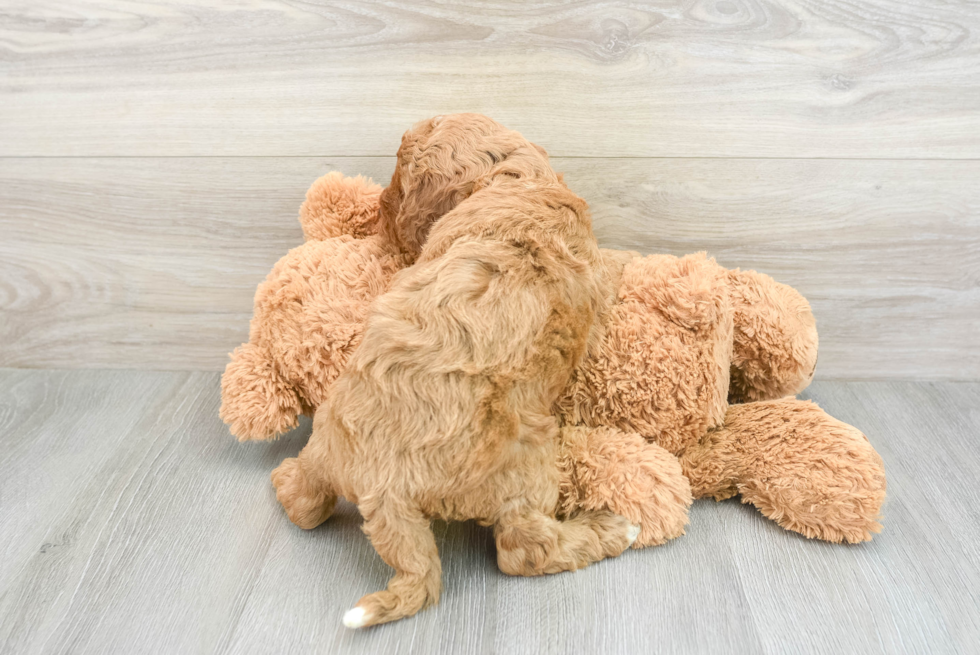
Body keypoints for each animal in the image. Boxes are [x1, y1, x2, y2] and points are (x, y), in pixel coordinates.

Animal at [270, 116, 636, 632]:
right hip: (526, 467)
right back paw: (612, 530)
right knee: (525, 551)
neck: (514, 179)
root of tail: (386, 489)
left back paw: (286, 480)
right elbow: (608, 271)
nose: (380, 213)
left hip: (326, 436)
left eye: (398, 181)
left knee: (305, 500)